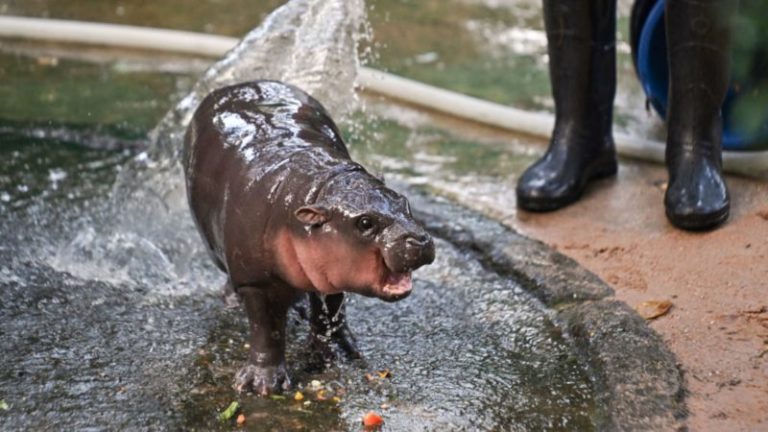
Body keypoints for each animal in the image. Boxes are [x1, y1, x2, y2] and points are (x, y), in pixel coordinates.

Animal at [180, 79, 432, 394]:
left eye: (404, 201)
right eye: (365, 223)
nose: (420, 239)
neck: (317, 189)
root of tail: (240, 85)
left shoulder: (331, 271)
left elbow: (329, 312)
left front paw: (332, 355)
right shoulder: (256, 281)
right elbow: (267, 330)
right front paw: (262, 385)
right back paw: (233, 301)